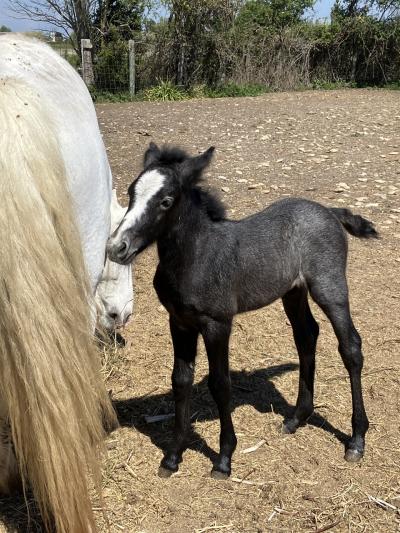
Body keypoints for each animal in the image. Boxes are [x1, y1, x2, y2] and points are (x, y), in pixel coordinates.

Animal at [108, 143, 376, 480]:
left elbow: (220, 383)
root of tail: (329, 211)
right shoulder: (179, 322)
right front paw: (172, 457)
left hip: (329, 286)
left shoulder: (217, 323)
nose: (117, 247)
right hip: (293, 291)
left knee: (350, 346)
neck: (195, 257)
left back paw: (356, 440)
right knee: (306, 336)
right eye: (131, 193)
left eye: (166, 201)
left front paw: (224, 459)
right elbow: (180, 380)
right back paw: (296, 418)